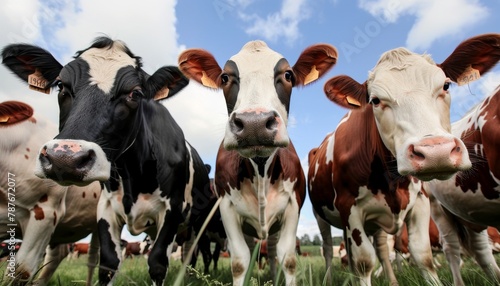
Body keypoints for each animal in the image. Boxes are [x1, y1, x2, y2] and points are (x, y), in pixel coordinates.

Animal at [178, 40, 338, 286]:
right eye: (225, 77)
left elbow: (287, 258)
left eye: (288, 75)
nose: (254, 123)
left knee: (271, 252)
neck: (260, 170)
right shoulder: (227, 208)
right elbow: (239, 261)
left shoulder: (292, 205)